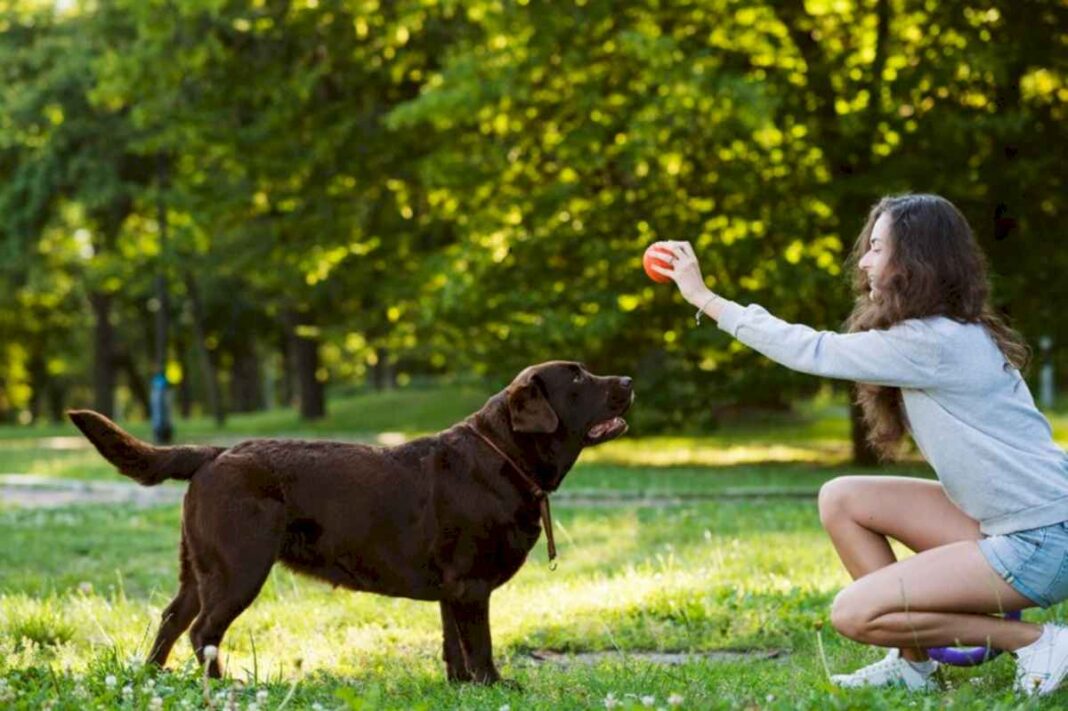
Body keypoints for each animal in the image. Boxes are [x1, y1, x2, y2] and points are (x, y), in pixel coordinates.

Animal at [68, 360, 632, 683]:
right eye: (577, 377)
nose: (628, 380)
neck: (504, 454)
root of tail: (215, 453)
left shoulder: (452, 589)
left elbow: (453, 644)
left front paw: (461, 686)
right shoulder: (471, 585)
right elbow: (481, 644)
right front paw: (493, 684)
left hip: (200, 568)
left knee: (171, 618)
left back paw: (154, 679)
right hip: (239, 568)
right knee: (203, 630)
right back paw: (222, 686)